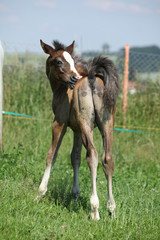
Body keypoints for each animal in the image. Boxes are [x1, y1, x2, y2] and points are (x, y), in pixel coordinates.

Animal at [37, 39, 119, 221]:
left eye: (72, 61)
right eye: (59, 61)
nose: (74, 78)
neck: (61, 89)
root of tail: (91, 79)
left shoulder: (59, 123)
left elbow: (52, 155)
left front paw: (40, 193)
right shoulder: (77, 130)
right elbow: (75, 157)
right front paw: (75, 196)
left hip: (86, 124)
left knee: (93, 155)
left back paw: (94, 209)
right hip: (105, 124)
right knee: (107, 158)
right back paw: (111, 209)